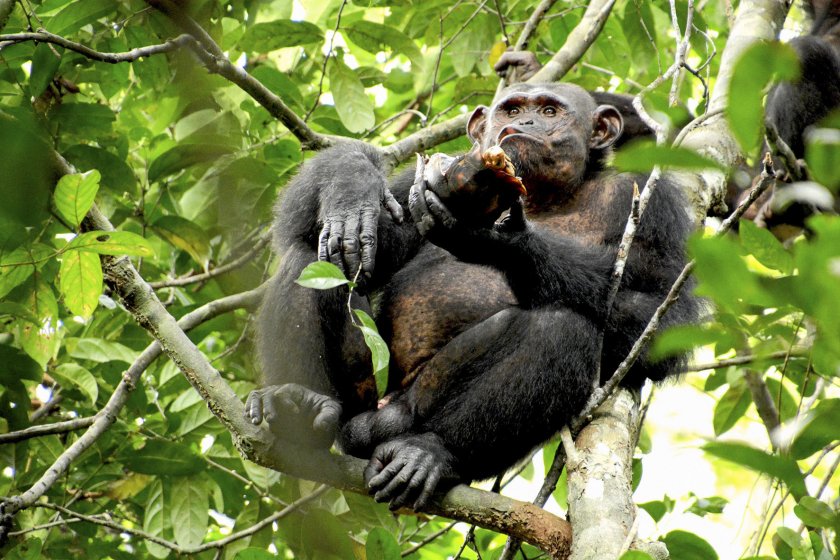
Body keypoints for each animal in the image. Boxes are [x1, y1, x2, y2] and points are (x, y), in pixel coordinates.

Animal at [246, 82, 700, 508]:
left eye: (550, 111)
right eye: (511, 109)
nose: (524, 123)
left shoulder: (653, 200)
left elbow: (664, 310)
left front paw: (496, 241)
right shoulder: (412, 187)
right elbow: (312, 228)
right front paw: (352, 189)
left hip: (410, 410)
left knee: (563, 327)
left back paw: (429, 453)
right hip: (363, 394)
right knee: (309, 260)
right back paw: (297, 403)